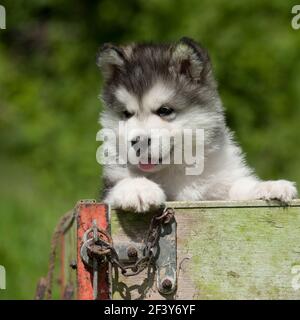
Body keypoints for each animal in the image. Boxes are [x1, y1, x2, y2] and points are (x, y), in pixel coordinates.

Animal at [98, 37, 298, 211]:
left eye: (164, 110)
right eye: (126, 114)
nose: (137, 142)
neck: (178, 169)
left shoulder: (220, 187)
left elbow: (239, 187)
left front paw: (269, 186)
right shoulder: (108, 187)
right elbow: (119, 185)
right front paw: (138, 188)